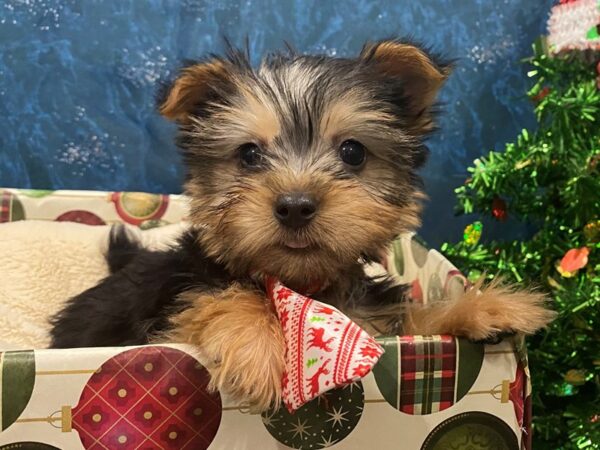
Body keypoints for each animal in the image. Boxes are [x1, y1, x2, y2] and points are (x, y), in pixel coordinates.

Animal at [50, 40, 552, 414]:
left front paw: (486, 307)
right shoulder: (170, 318)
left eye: (353, 152)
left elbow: (410, 318)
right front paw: (256, 345)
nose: (294, 206)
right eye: (249, 155)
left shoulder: (368, 319)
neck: (303, 283)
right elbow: (217, 298)